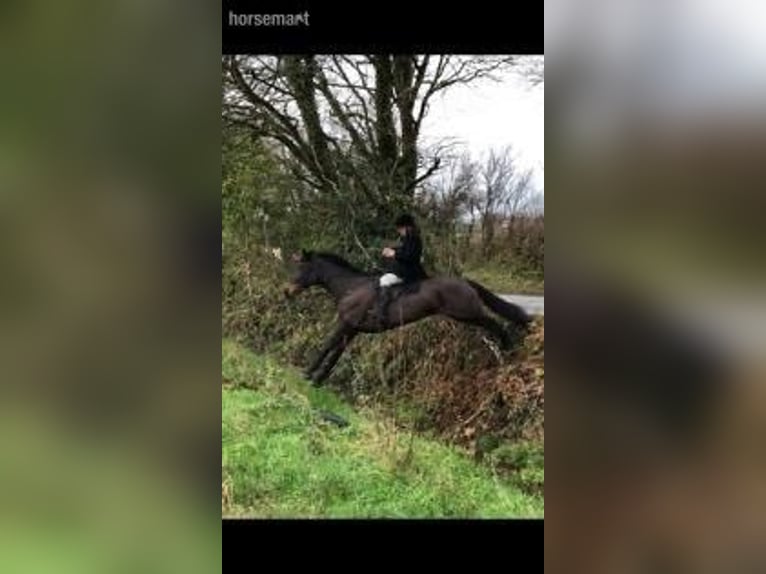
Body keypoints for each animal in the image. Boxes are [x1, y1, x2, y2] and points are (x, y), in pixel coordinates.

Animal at [284, 249, 532, 386]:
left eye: (301, 269)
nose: (287, 292)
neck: (350, 287)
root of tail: (464, 282)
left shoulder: (345, 323)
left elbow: (327, 346)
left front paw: (307, 373)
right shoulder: (352, 328)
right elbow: (336, 354)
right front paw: (318, 379)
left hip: (467, 313)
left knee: (495, 324)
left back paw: (509, 349)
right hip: (466, 315)